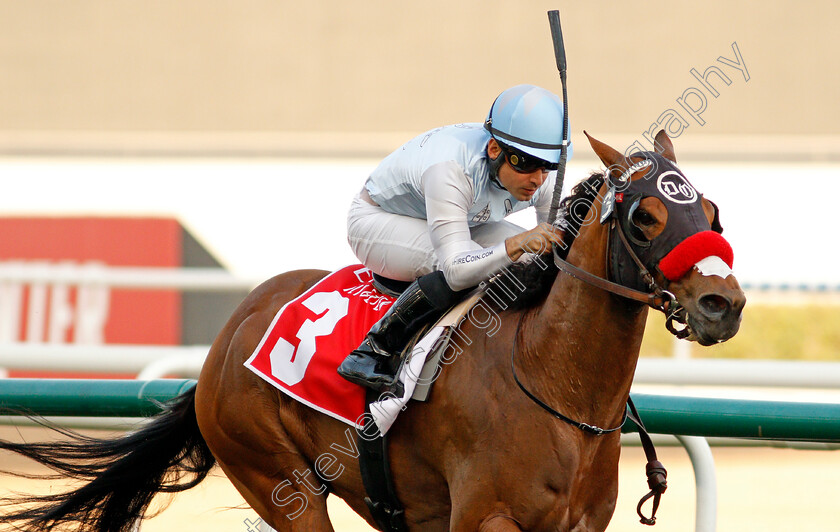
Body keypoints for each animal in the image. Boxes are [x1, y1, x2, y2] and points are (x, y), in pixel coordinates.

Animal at [1, 131, 748, 528]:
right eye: (646, 217)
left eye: (711, 210)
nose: (723, 303)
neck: (554, 384)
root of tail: (230, 333)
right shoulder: (484, 517)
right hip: (279, 479)